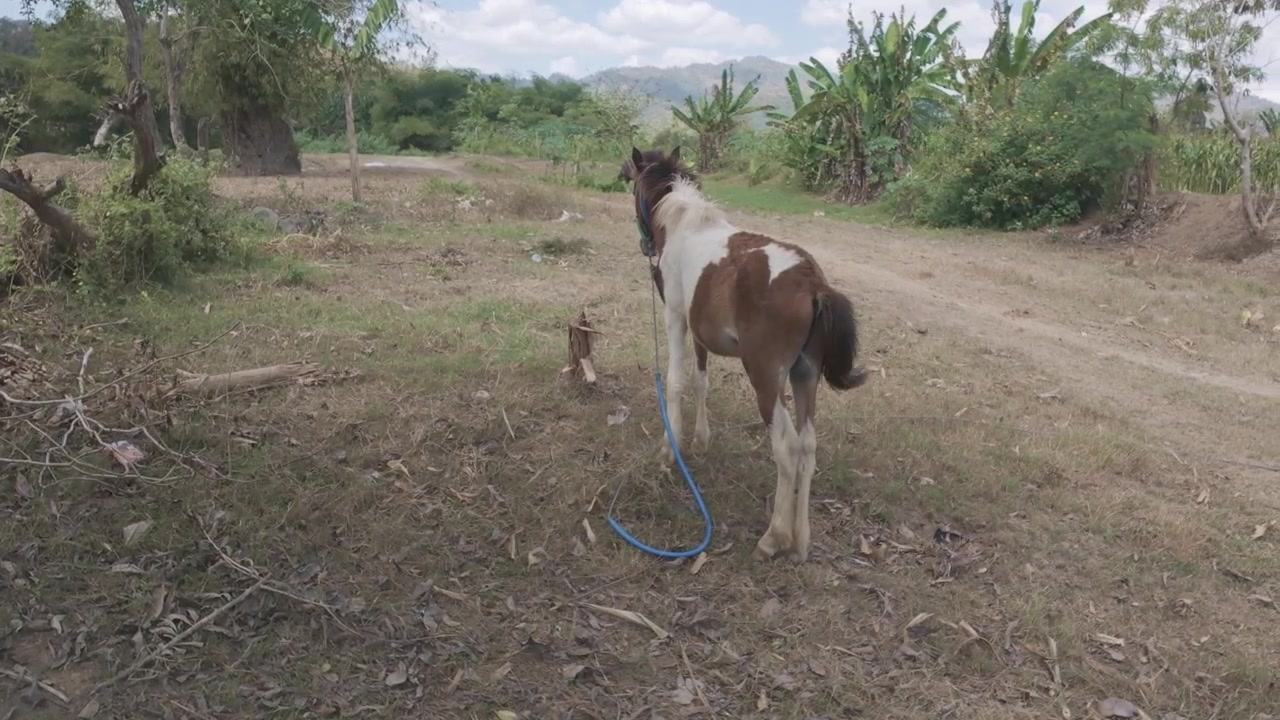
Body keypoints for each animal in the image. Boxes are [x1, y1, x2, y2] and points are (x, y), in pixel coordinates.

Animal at [629, 146, 868, 563]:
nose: (645, 247)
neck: (685, 225)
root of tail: (814, 284)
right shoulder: (700, 330)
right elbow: (701, 380)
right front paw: (701, 439)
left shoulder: (675, 317)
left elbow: (675, 382)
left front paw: (669, 450)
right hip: (805, 376)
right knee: (808, 445)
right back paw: (801, 542)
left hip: (765, 377)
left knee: (787, 447)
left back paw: (774, 537)